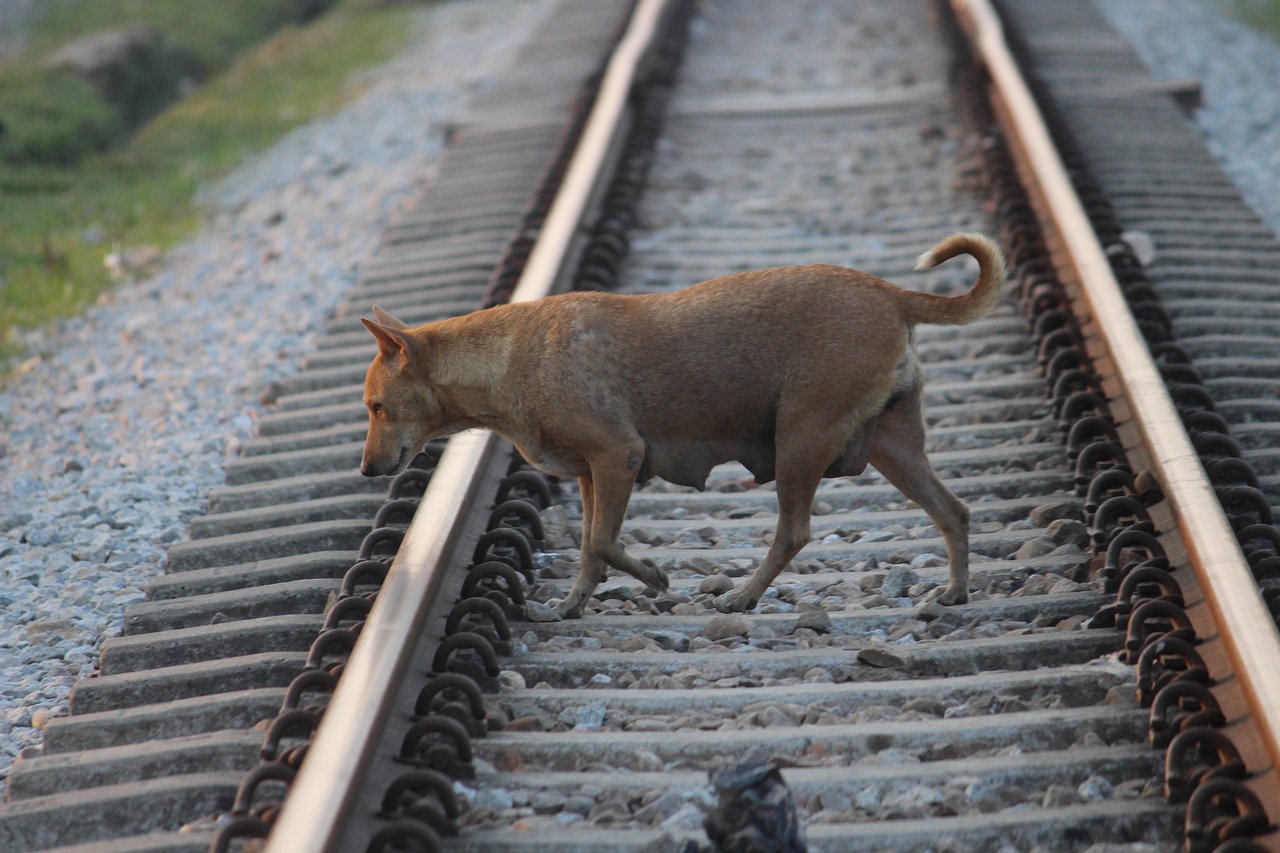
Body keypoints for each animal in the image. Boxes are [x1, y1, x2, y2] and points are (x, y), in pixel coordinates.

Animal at [363, 230, 1008, 617]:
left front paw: (653, 577)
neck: (510, 354)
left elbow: (603, 542)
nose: (367, 470)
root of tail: (890, 293)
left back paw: (742, 597)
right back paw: (954, 590)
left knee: (794, 533)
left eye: (374, 407)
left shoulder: (618, 456)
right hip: (893, 447)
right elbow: (591, 551)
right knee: (954, 511)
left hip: (800, 438)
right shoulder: (592, 475)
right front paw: (573, 604)